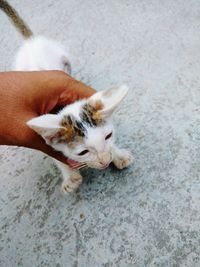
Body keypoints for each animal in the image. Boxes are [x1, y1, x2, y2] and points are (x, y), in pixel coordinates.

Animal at [1, 0, 134, 194]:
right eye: (83, 152)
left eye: (108, 135)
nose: (104, 161)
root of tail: (31, 41)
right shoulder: (46, 144)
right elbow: (56, 157)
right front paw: (70, 177)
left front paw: (118, 154)